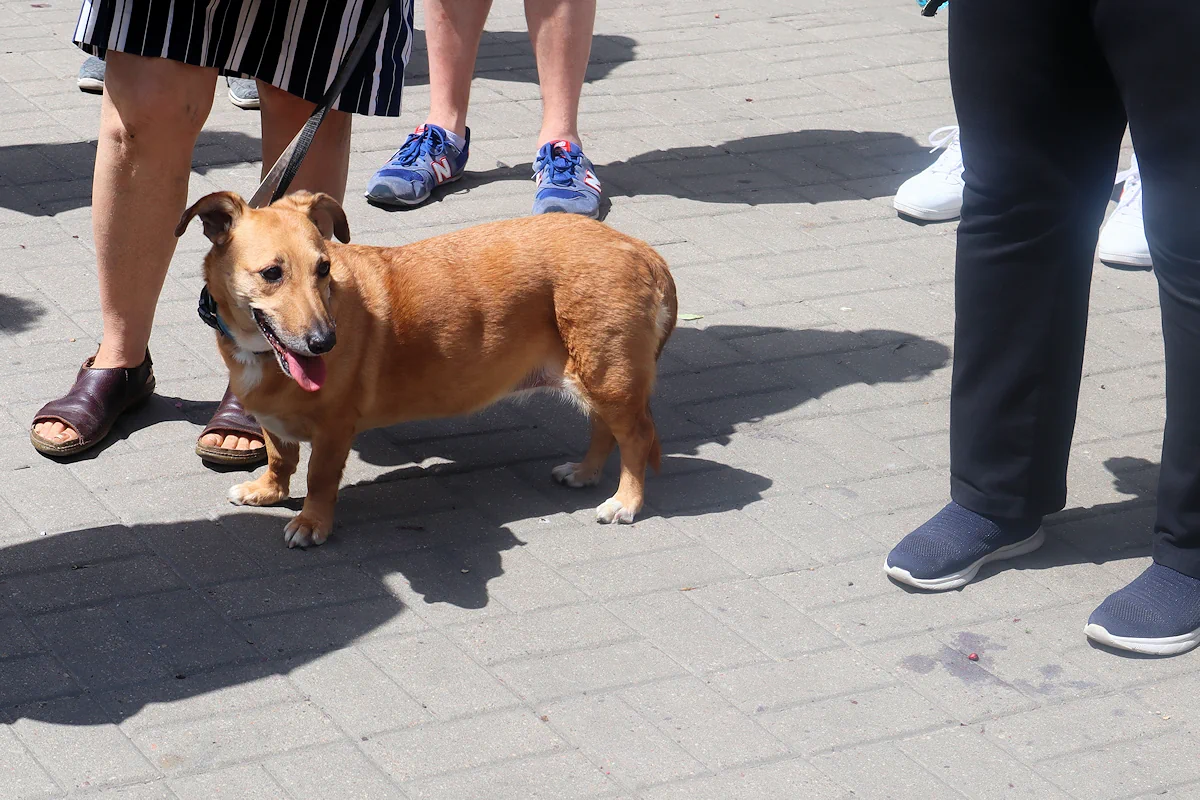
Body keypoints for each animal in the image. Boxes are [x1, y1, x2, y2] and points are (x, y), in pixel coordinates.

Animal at [175, 190, 681, 546]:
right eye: (271, 273)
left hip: (608, 375)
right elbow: (281, 458)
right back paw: (585, 473)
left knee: (635, 437)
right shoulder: (273, 422)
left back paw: (625, 502)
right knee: (604, 430)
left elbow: (318, 478)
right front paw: (269, 491)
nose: (324, 342)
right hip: (598, 377)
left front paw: (312, 523)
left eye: (323, 269)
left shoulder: (335, 430)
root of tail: (643, 252)